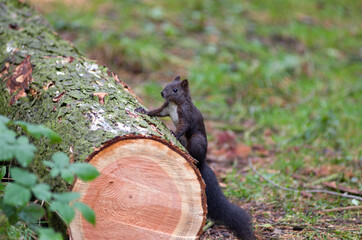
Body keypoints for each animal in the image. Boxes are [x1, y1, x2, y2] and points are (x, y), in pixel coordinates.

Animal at [136, 76, 255, 239]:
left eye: (175, 90)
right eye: (167, 85)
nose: (162, 93)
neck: (175, 104)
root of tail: (203, 163)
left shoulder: (186, 115)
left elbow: (183, 126)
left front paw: (174, 133)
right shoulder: (166, 108)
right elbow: (157, 111)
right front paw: (144, 111)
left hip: (197, 140)